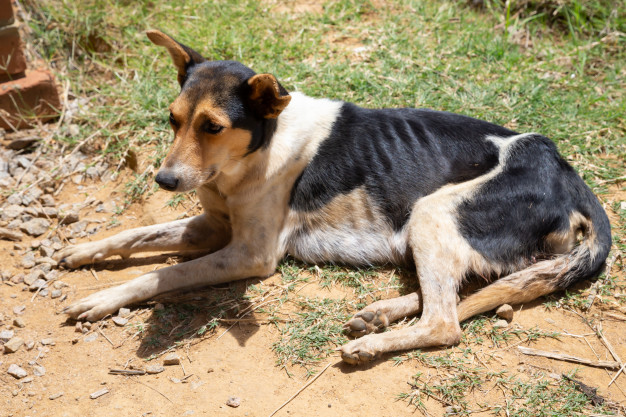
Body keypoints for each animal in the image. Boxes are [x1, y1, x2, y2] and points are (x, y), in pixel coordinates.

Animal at [53, 30, 608, 364]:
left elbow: (162, 273)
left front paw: (103, 298)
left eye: (212, 126)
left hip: (433, 211)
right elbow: (137, 233)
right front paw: (84, 251)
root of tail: (569, 175)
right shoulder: (212, 225)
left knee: (445, 322)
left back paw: (373, 343)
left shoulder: (250, 254)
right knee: (463, 292)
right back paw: (378, 314)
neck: (261, 146)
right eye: (172, 120)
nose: (164, 181)